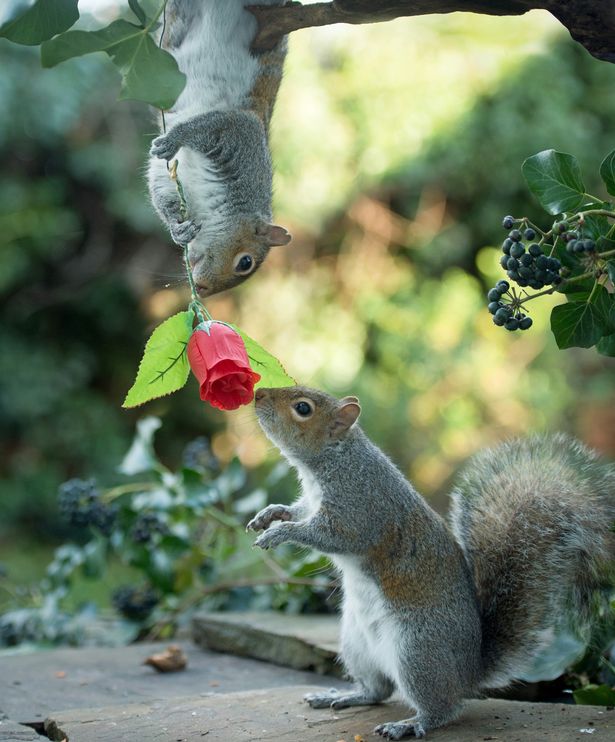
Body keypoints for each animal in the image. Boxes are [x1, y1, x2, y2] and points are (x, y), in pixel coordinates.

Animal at [149, 2, 294, 300]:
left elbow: (163, 190)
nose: (202, 291)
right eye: (245, 262)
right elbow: (214, 126)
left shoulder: (172, 172)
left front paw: (177, 230)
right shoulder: (244, 140)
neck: (210, 209)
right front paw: (176, 137)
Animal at [248, 386, 615, 740]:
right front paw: (269, 514)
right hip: (356, 644)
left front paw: (280, 533)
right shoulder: (312, 502)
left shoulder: (360, 507)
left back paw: (410, 724)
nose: (258, 394)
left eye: (303, 408)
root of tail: (469, 672)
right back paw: (346, 696)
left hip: (418, 652)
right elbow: (297, 510)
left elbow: (334, 536)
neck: (334, 459)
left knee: (445, 708)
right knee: (378, 690)